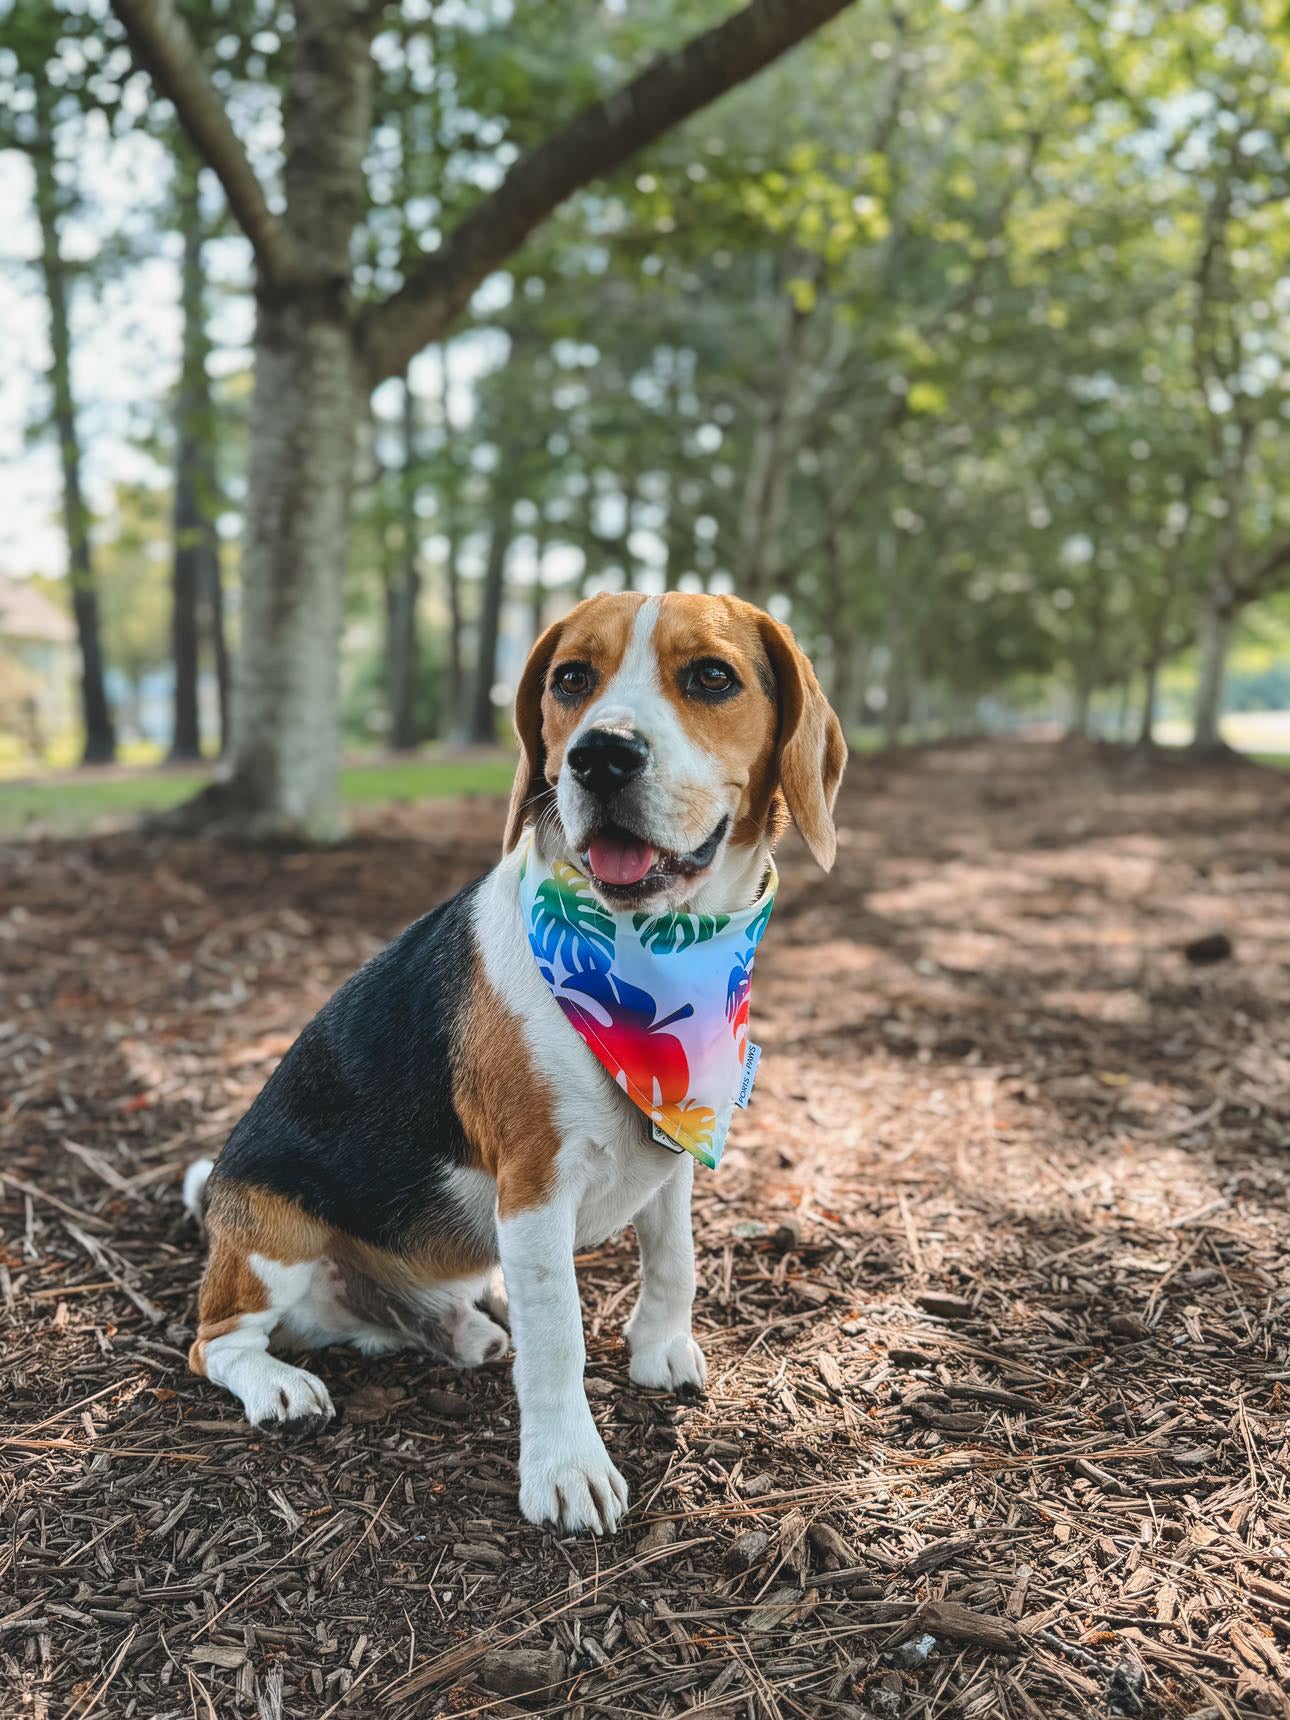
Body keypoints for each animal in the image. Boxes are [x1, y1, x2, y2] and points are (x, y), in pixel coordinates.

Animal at [184, 591, 849, 1534]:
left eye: (712, 677)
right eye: (570, 679)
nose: (599, 757)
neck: (650, 948)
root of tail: (219, 1203)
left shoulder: (676, 1143)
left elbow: (674, 1257)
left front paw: (659, 1347)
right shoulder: (535, 1184)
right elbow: (558, 1337)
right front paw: (567, 1469)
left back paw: (461, 1324)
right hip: (277, 1232)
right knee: (217, 1344)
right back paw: (279, 1384)